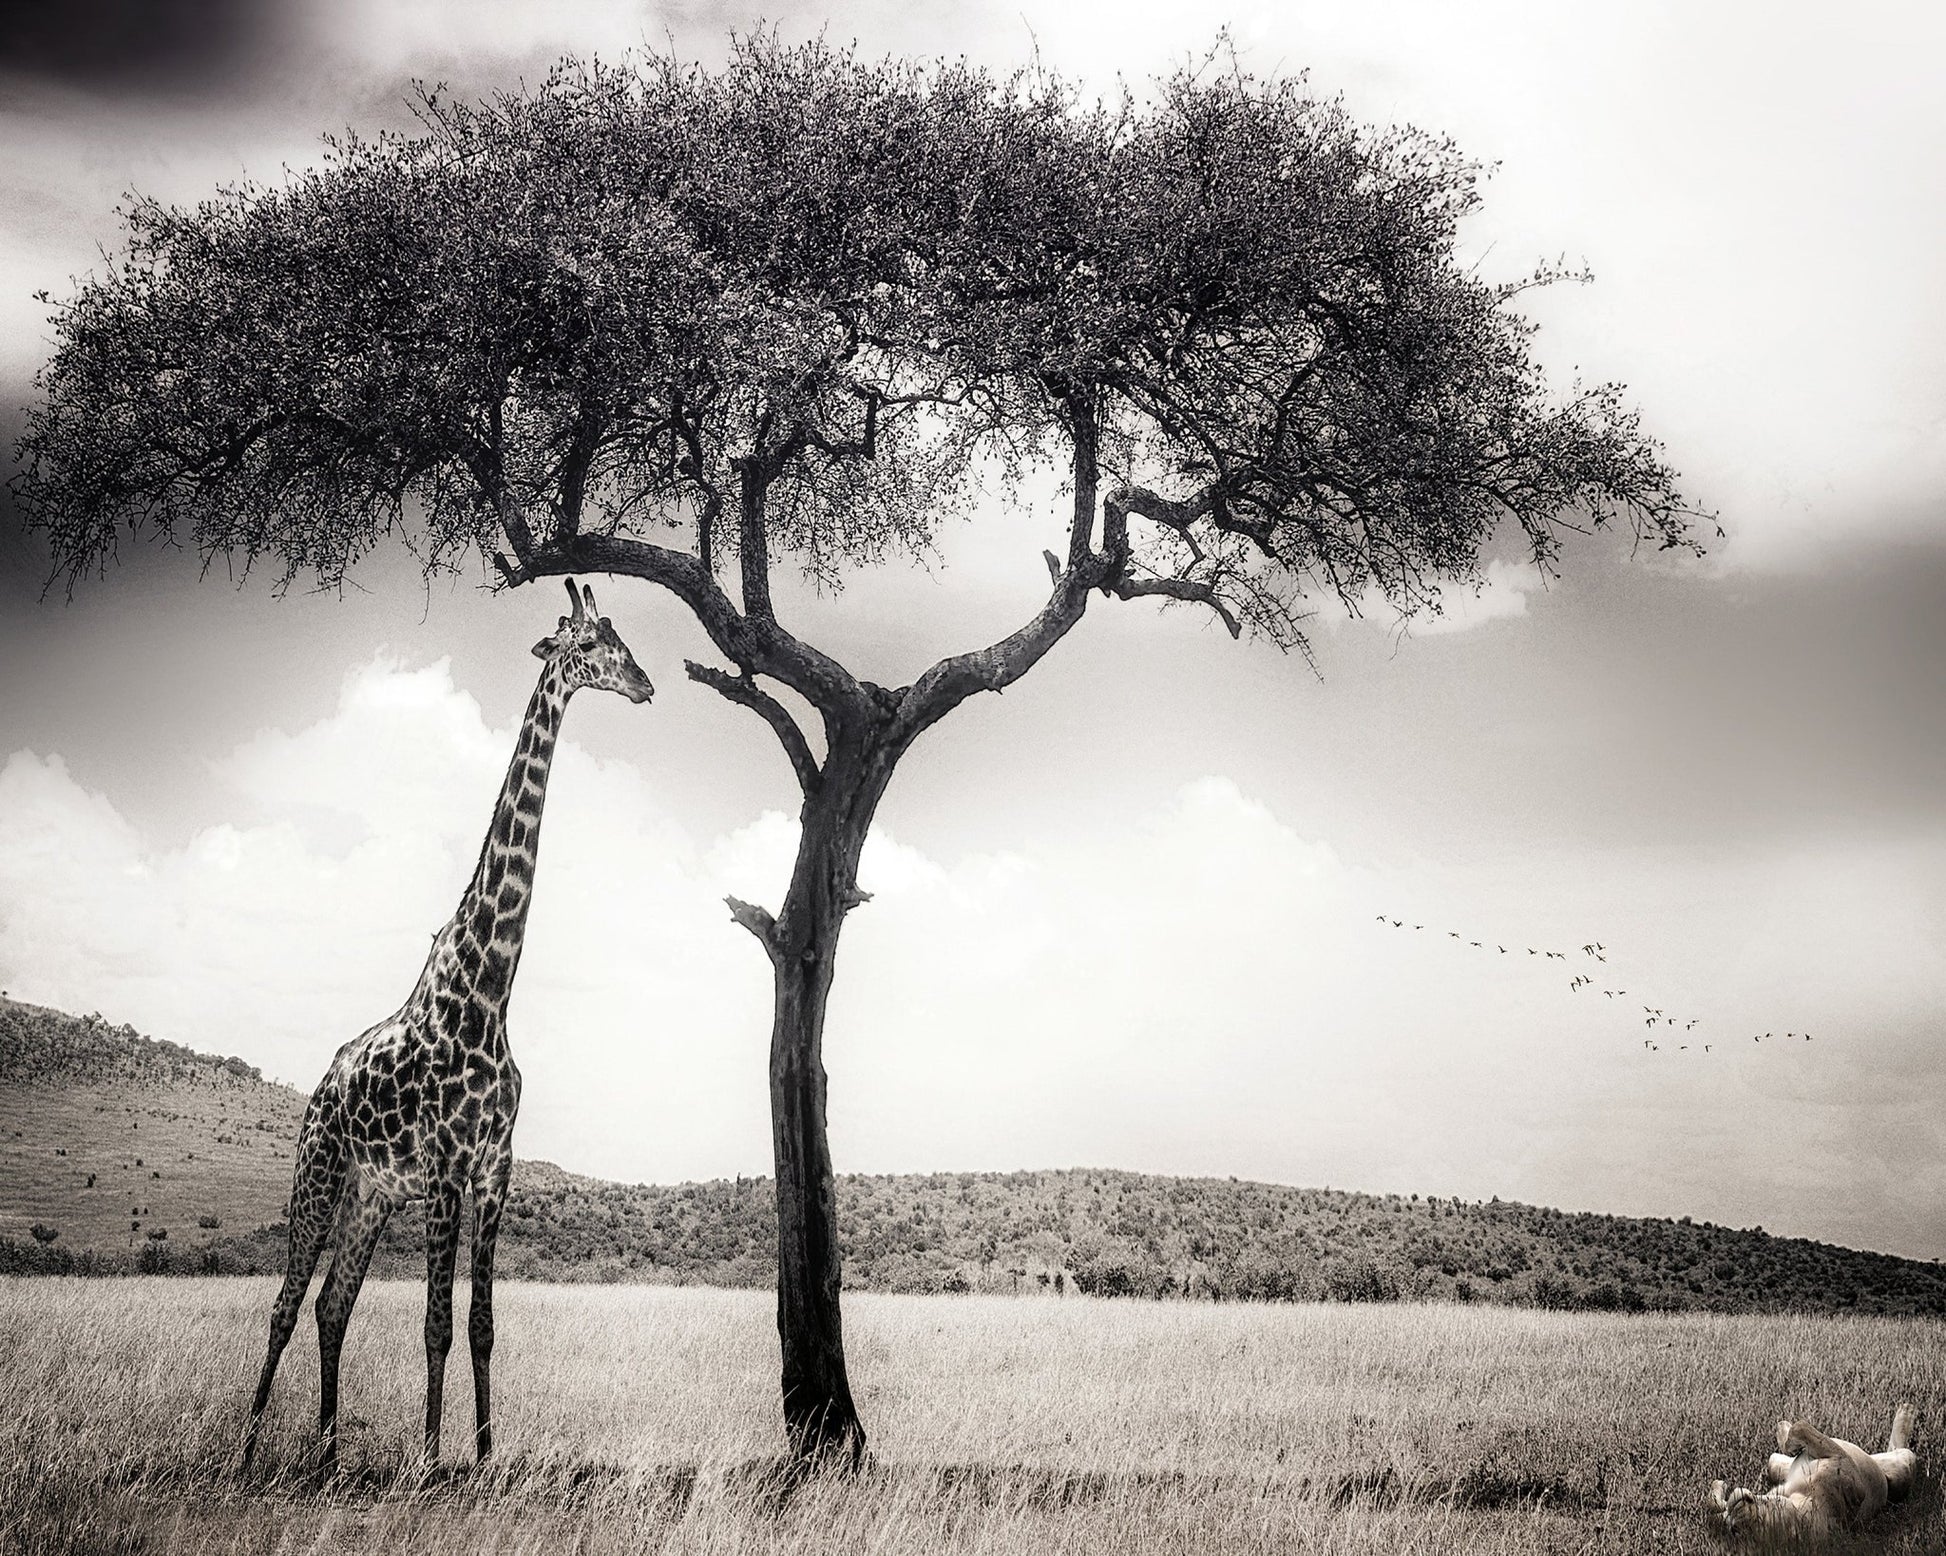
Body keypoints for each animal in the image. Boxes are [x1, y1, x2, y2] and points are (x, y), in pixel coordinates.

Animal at [241, 579, 653, 1474]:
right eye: (589, 645)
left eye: (623, 638)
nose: (644, 685)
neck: (490, 993)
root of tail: (320, 1087)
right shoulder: (442, 1170)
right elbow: (433, 1324)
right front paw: (431, 1462)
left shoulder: (493, 1170)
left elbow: (481, 1325)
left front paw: (486, 1456)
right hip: (319, 1175)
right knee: (286, 1306)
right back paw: (248, 1451)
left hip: (369, 1196)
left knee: (331, 1306)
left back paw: (328, 1454)